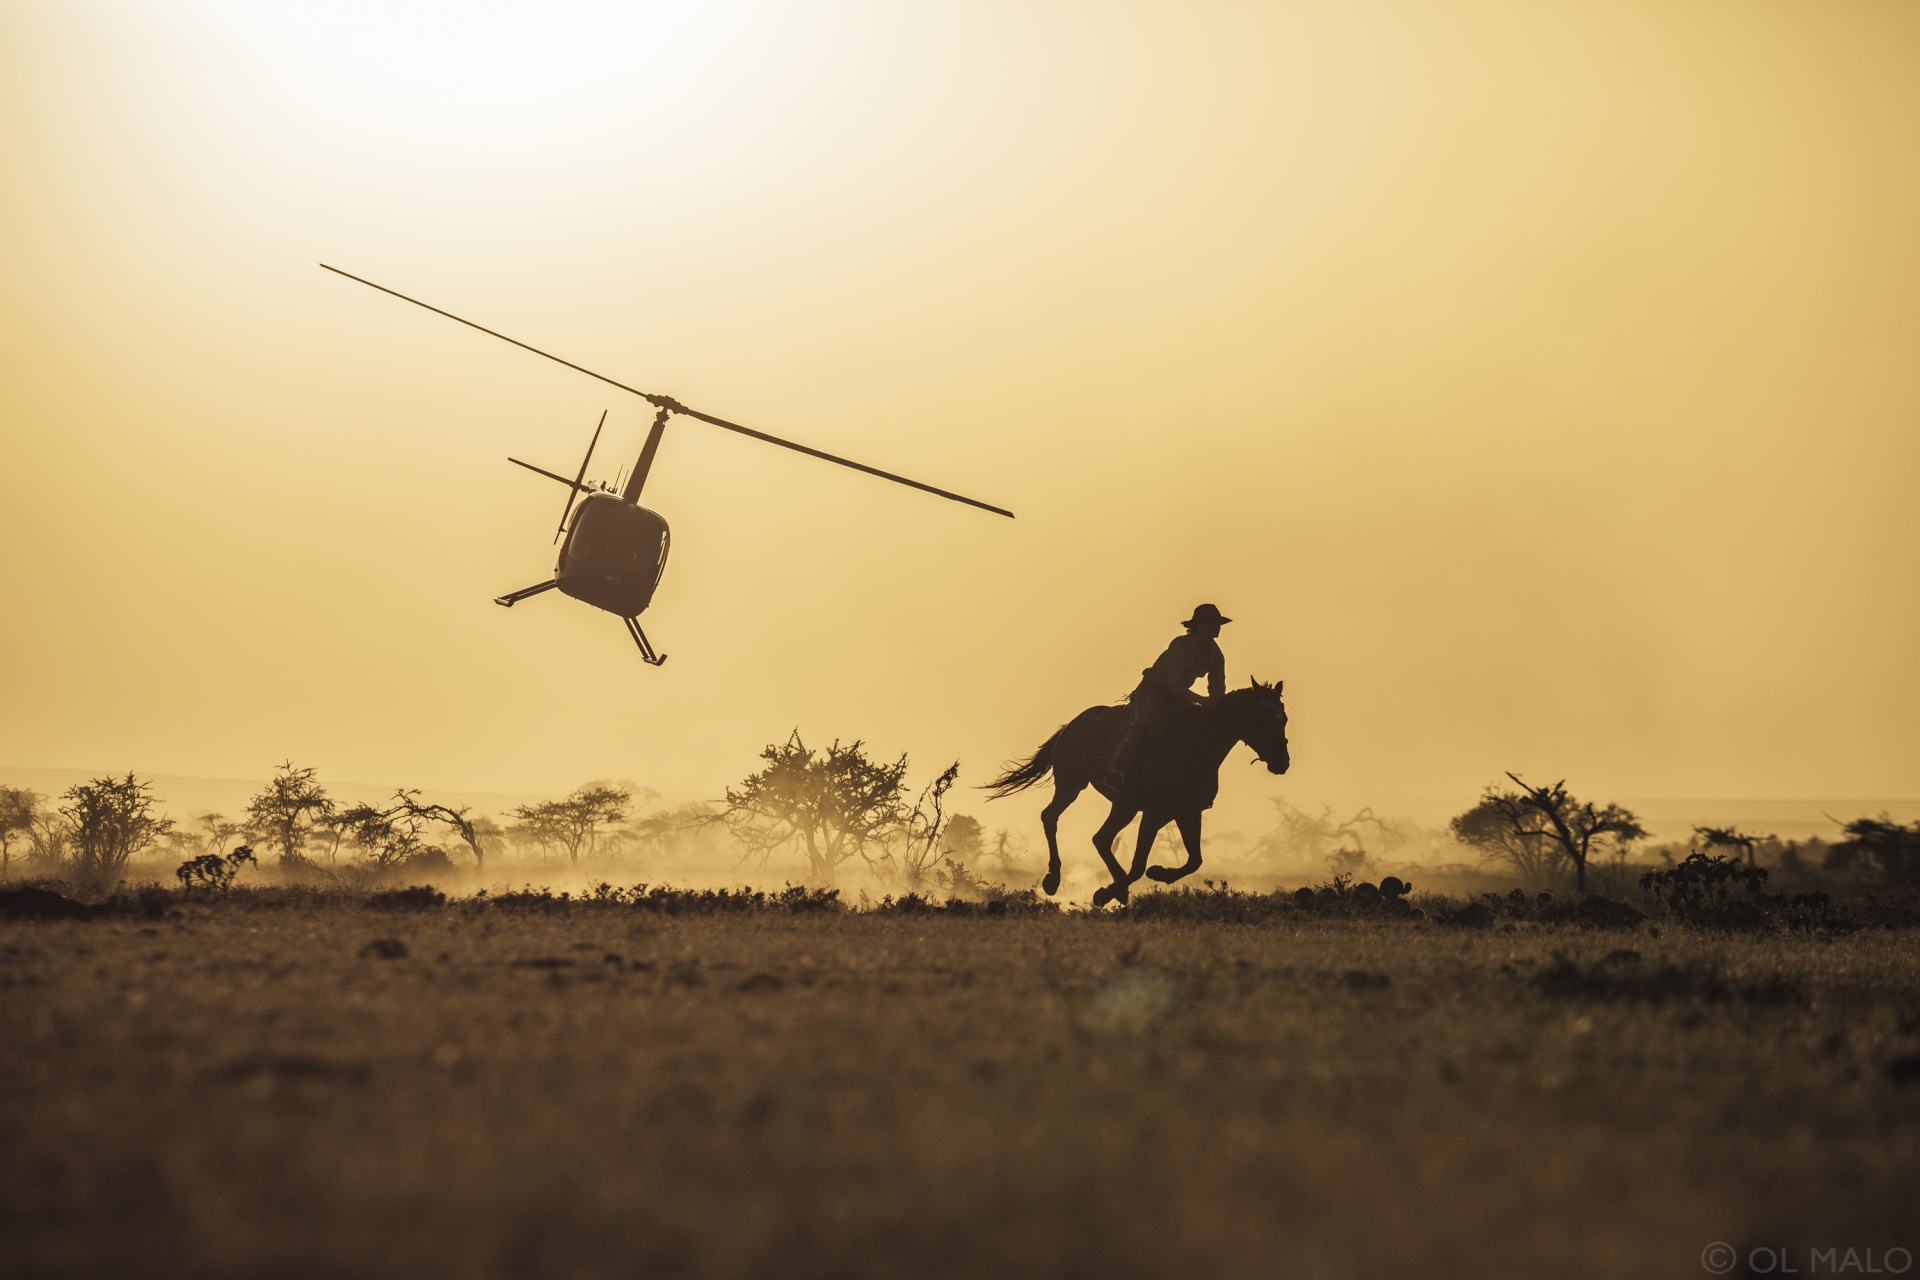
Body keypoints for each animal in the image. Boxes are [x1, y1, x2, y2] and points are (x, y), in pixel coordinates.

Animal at [990, 679, 1290, 909]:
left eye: (1283, 718)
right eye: (1264, 717)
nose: (1282, 762)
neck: (1195, 745)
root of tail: (1071, 726)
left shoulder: (1186, 812)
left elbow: (1194, 860)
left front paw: (1158, 873)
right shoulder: (1154, 813)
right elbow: (1137, 865)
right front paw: (1103, 894)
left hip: (1124, 805)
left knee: (1100, 838)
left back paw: (1116, 888)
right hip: (1074, 786)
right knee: (1053, 818)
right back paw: (1054, 879)